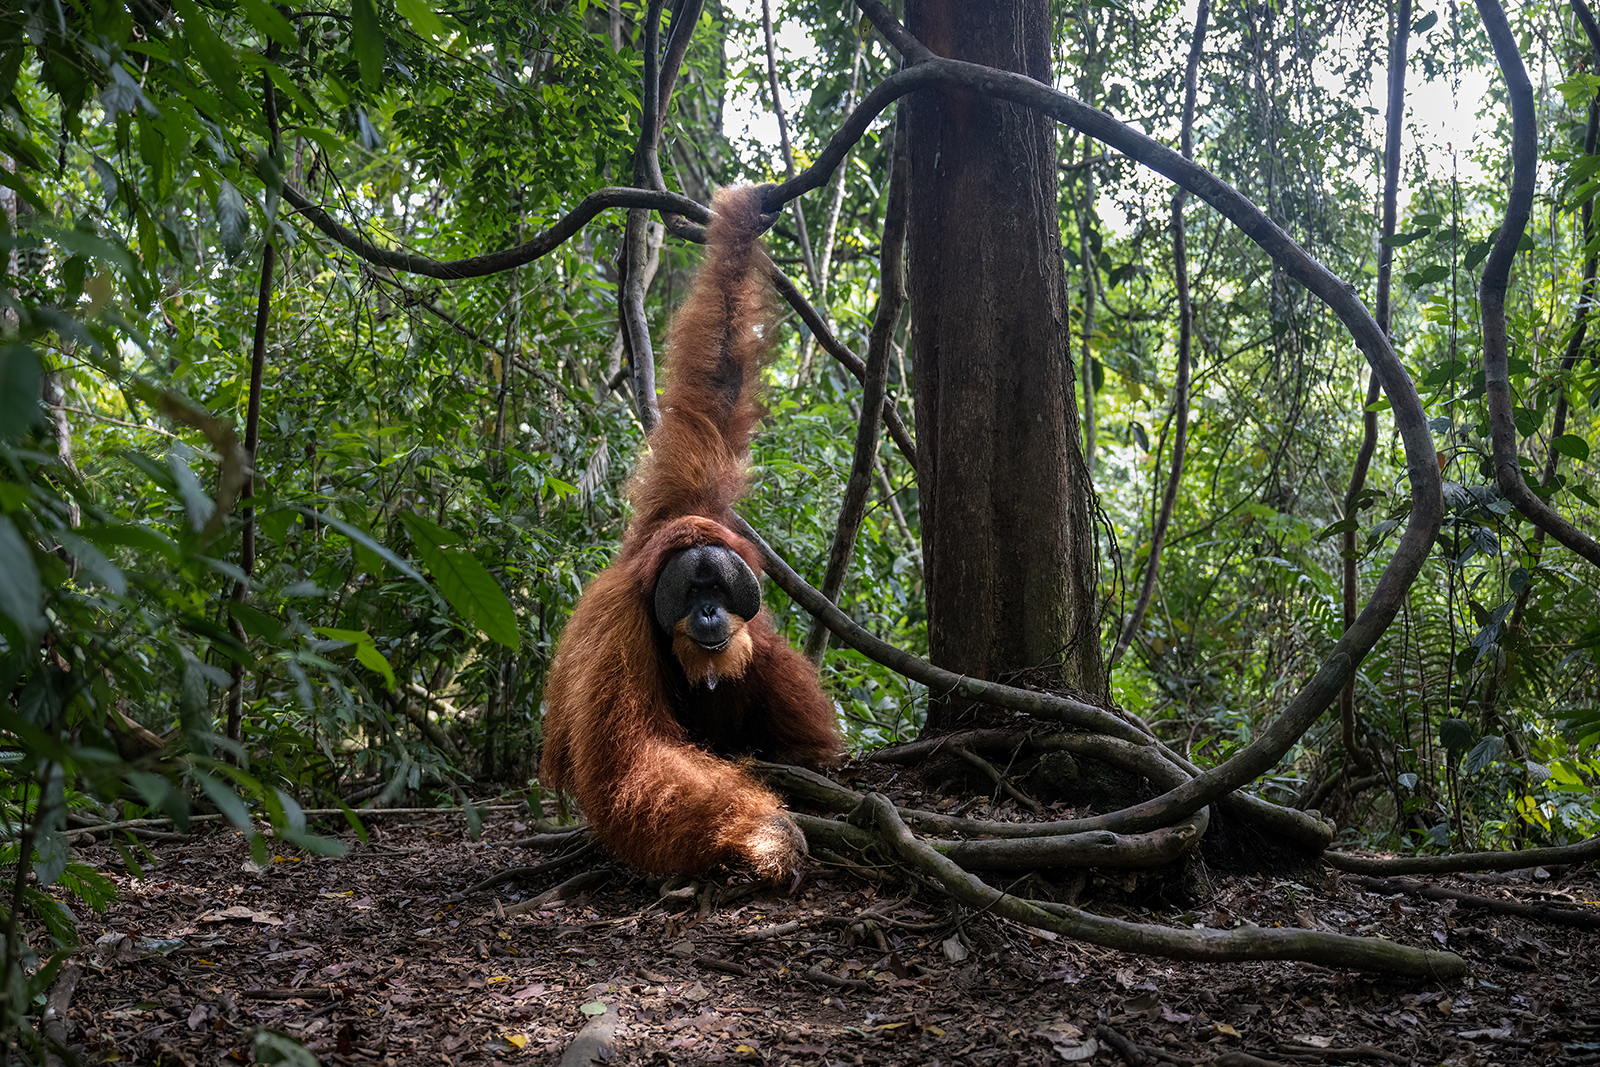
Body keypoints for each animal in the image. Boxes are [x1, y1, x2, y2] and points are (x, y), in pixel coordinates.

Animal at [538, 185, 842, 883]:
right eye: (693, 589)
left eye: (718, 587)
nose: (707, 611)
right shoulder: (618, 628)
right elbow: (630, 759)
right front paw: (764, 832)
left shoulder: (686, 500)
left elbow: (716, 383)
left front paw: (747, 216)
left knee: (763, 649)